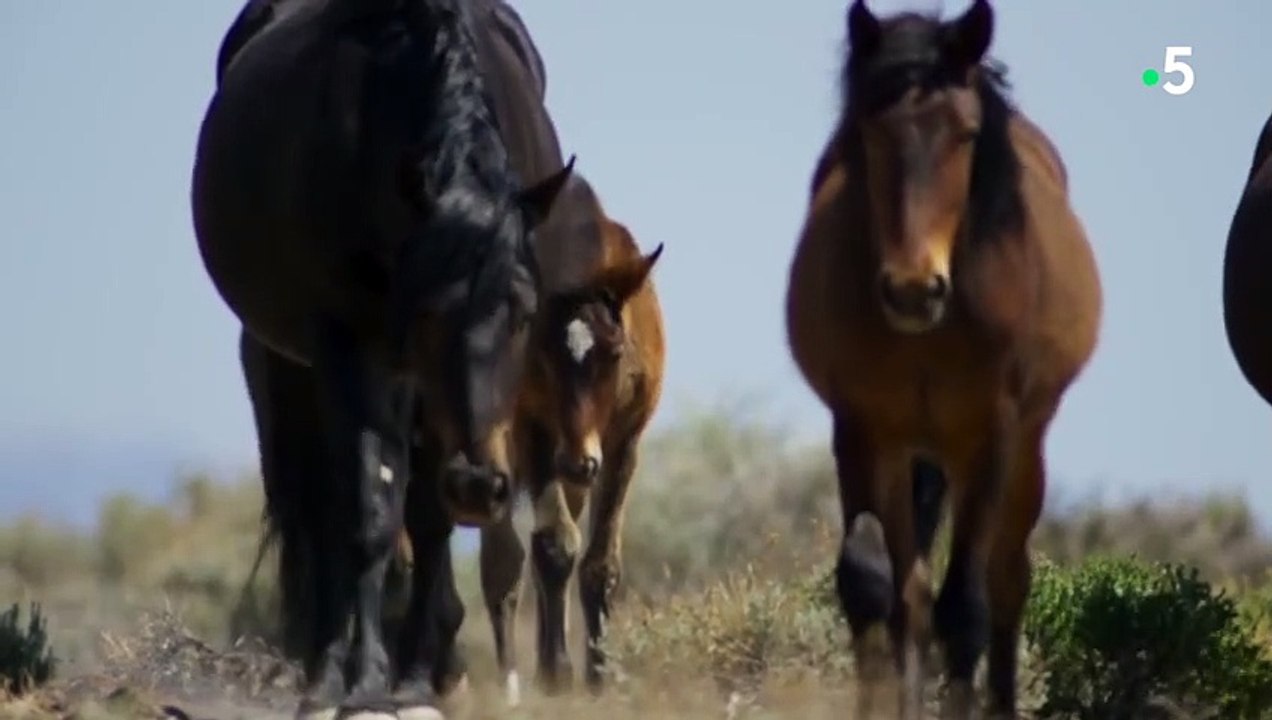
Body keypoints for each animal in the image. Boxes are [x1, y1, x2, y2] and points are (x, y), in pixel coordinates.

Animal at [192, 0, 586, 717]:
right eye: (427, 311)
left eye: (522, 311)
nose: (480, 485)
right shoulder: (351, 348)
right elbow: (369, 515)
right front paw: (363, 681)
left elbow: (427, 520)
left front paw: (416, 677)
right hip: (287, 365)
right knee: (321, 510)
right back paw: (325, 669)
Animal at [477, 180, 665, 704]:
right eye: (542, 352)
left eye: (615, 350)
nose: (581, 461)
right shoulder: (535, 435)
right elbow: (554, 546)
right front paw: (559, 675)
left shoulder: (623, 444)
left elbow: (599, 562)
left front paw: (599, 677)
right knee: (502, 560)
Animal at [783, 1, 1102, 718]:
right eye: (871, 127)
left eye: (966, 133)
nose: (913, 288)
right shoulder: (864, 431)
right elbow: (875, 585)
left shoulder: (991, 436)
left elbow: (967, 605)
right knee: (914, 593)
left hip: (1023, 448)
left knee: (1007, 580)